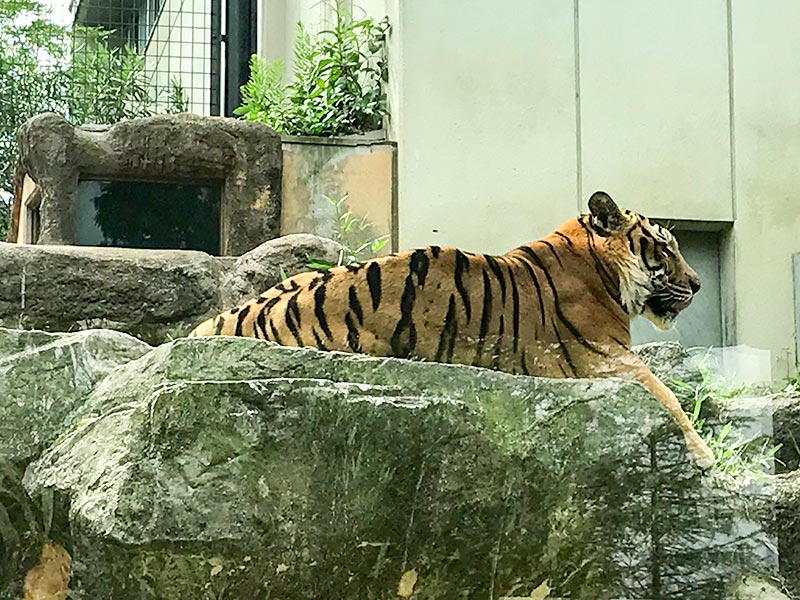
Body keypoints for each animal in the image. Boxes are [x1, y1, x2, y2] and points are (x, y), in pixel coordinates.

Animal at [191, 191, 716, 468]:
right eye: (666, 247)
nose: (698, 283)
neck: (597, 267)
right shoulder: (604, 359)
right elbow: (668, 397)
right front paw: (704, 456)